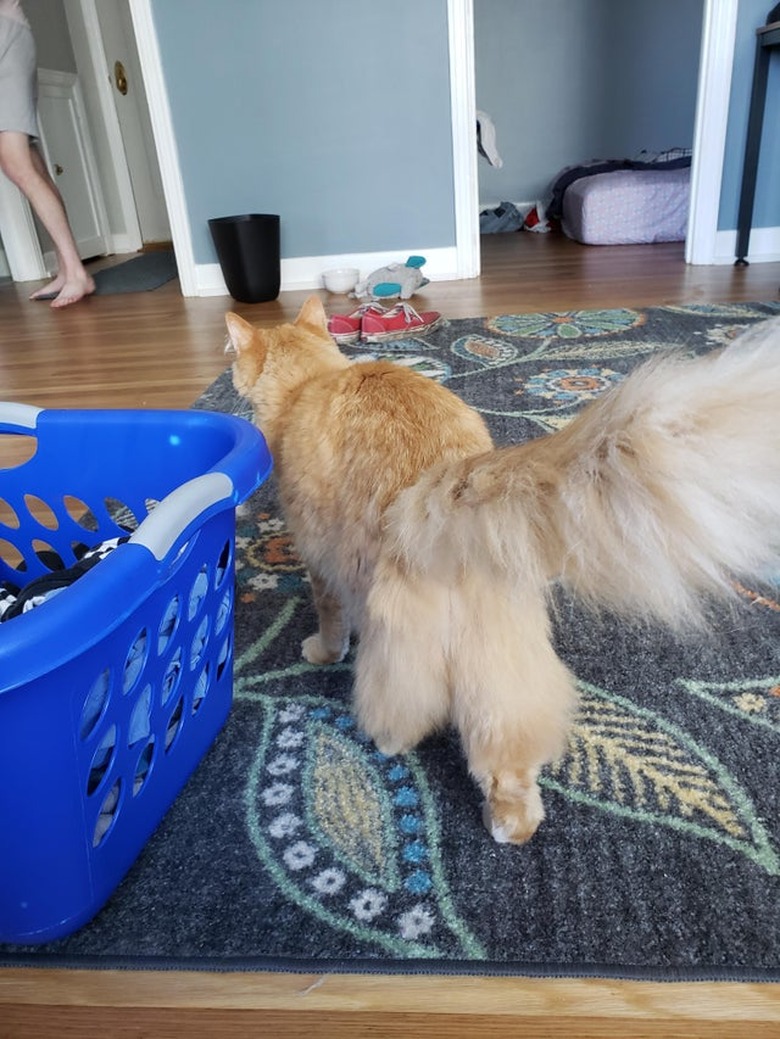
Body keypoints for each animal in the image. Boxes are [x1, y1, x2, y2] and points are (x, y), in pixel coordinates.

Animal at [228, 299, 780, 843]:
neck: (310, 383)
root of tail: (442, 484)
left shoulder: (320, 564)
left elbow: (330, 622)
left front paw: (322, 652)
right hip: (501, 664)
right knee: (508, 757)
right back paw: (511, 827)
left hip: (399, 639)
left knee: (403, 708)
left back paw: (386, 742)